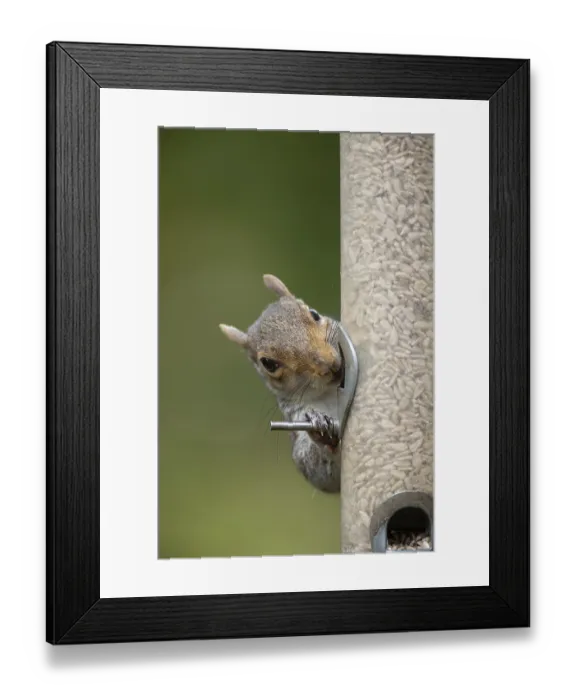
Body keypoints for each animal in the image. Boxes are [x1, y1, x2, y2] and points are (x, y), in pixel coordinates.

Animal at [219, 274, 343, 494]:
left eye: (314, 315)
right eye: (268, 363)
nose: (328, 363)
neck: (328, 392)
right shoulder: (297, 417)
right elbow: (321, 474)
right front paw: (321, 430)